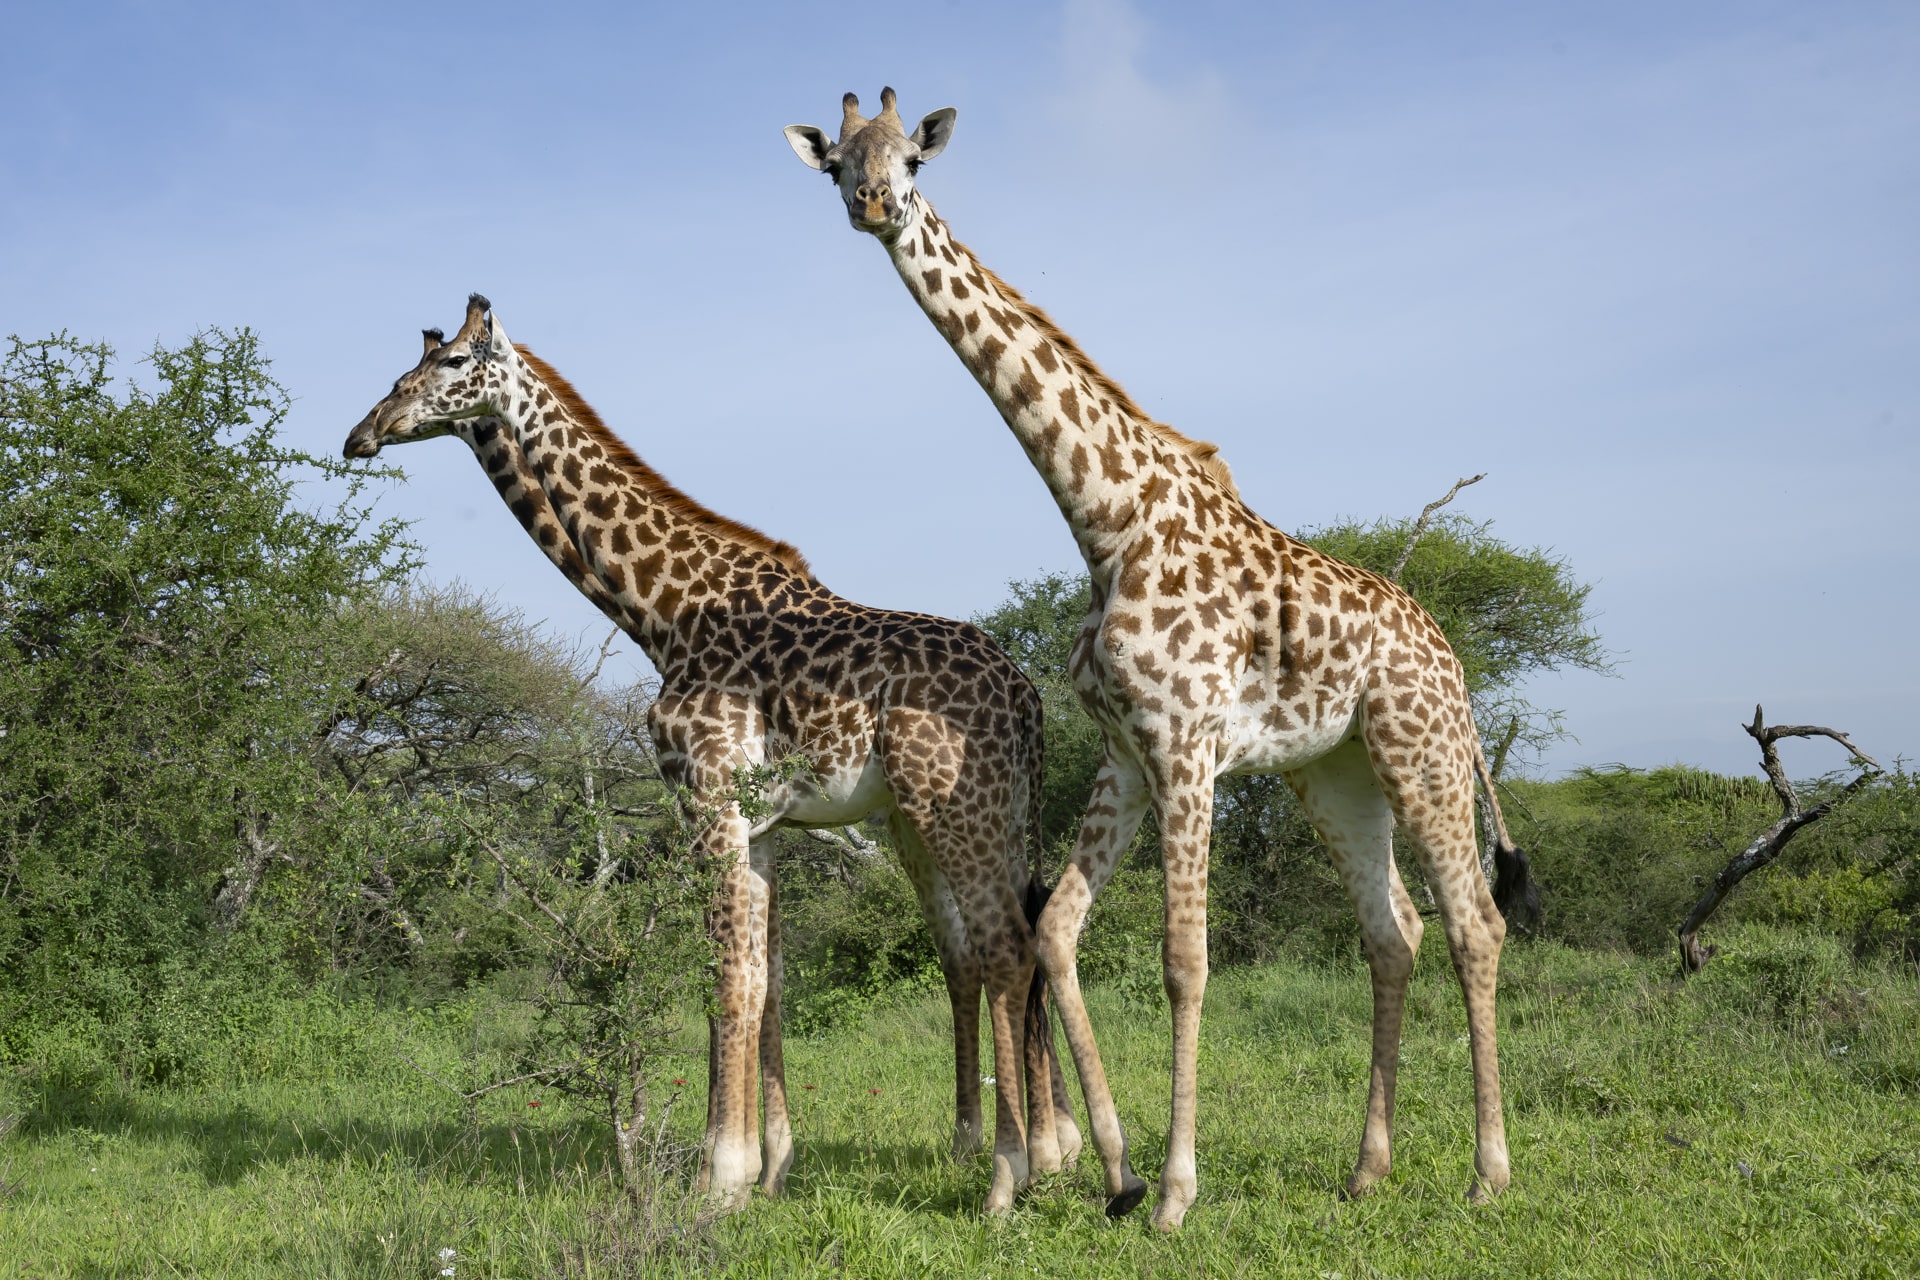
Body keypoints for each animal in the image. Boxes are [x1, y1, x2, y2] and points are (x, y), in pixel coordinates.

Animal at [343, 296, 1082, 1214]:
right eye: (404, 370)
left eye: (447, 365)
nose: (364, 433)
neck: (662, 611)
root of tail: (1028, 698)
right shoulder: (758, 824)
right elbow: (764, 983)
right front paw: (768, 1169)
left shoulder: (708, 800)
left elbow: (724, 980)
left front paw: (718, 1177)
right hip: (990, 815)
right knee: (1003, 942)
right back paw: (1052, 1151)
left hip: (948, 810)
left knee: (1002, 949)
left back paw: (1008, 1175)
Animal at [786, 89, 1537, 1230]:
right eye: (838, 162)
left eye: (912, 158)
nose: (872, 205)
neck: (1106, 519)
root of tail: (1450, 653)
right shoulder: (1126, 753)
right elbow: (1056, 931)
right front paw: (1113, 1169)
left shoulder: (1187, 745)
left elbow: (1186, 959)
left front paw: (1176, 1190)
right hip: (1337, 773)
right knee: (1394, 931)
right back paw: (1367, 1169)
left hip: (1423, 749)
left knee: (1476, 924)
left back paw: (1488, 1172)